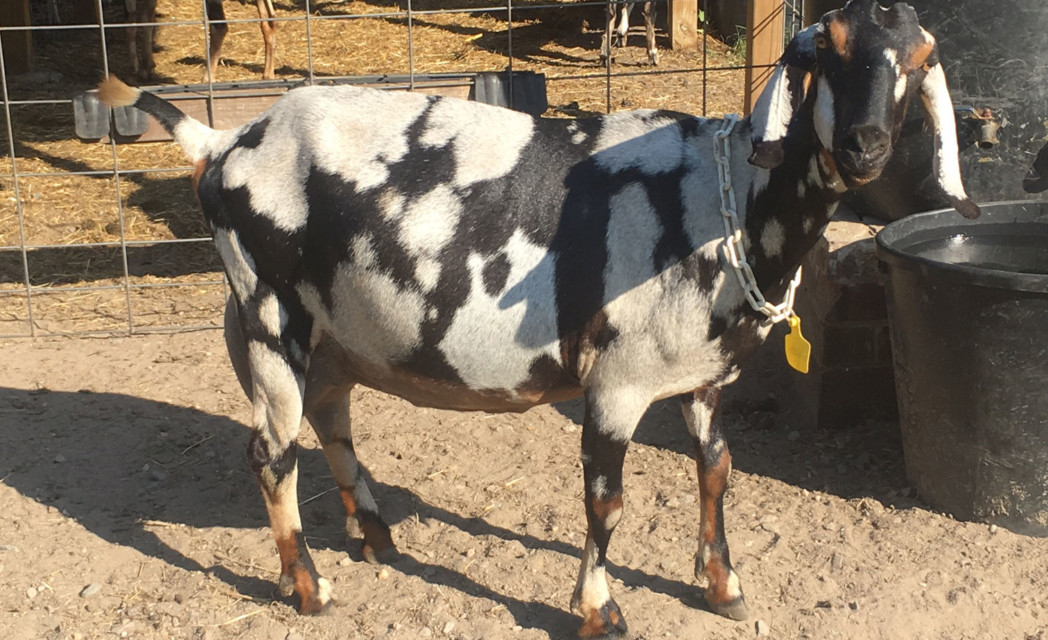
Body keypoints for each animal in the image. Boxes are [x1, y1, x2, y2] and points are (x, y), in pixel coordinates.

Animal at [124, 0, 277, 82]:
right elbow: (143, 18)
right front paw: (145, 67)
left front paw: (138, 69)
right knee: (270, 21)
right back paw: (268, 74)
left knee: (220, 26)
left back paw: (207, 79)